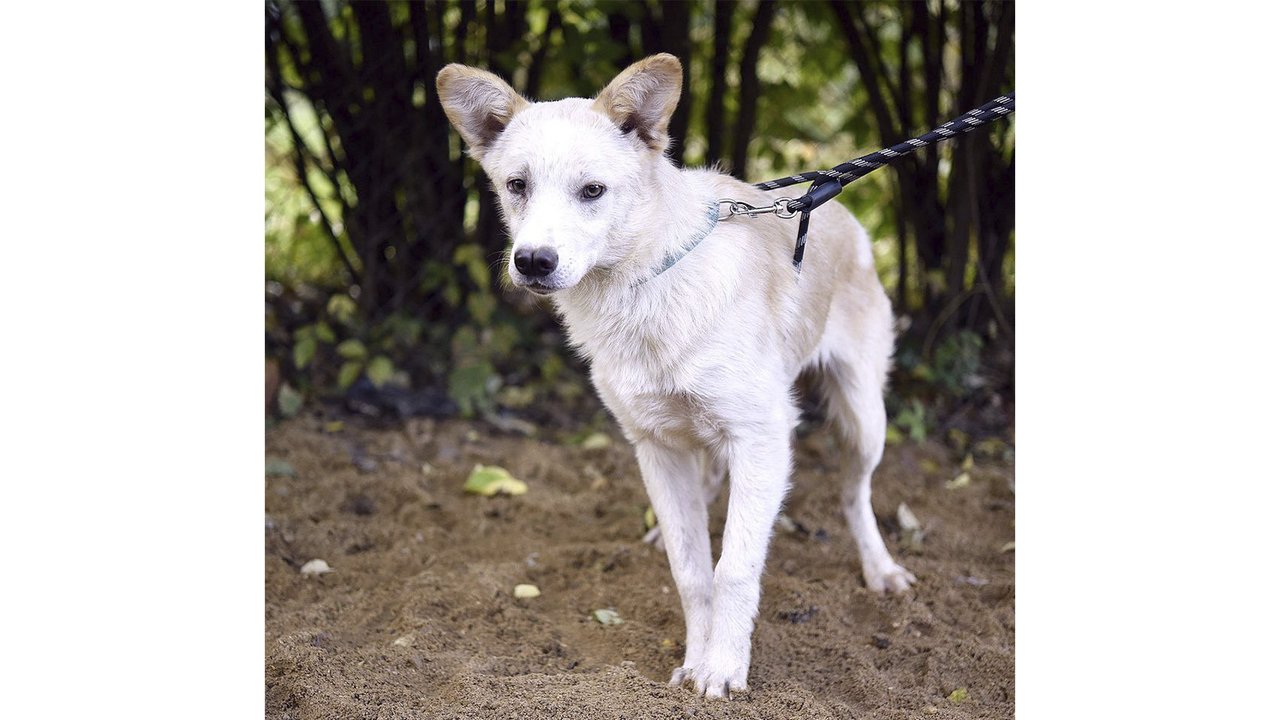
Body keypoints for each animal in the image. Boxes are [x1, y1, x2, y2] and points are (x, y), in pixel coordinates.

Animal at [437, 54, 911, 696]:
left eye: (592, 191)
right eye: (517, 186)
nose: (532, 262)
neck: (647, 287)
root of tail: (835, 206)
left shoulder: (761, 438)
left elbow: (733, 566)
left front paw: (723, 669)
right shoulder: (656, 447)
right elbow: (691, 571)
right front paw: (695, 658)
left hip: (863, 422)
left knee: (853, 495)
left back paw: (880, 568)